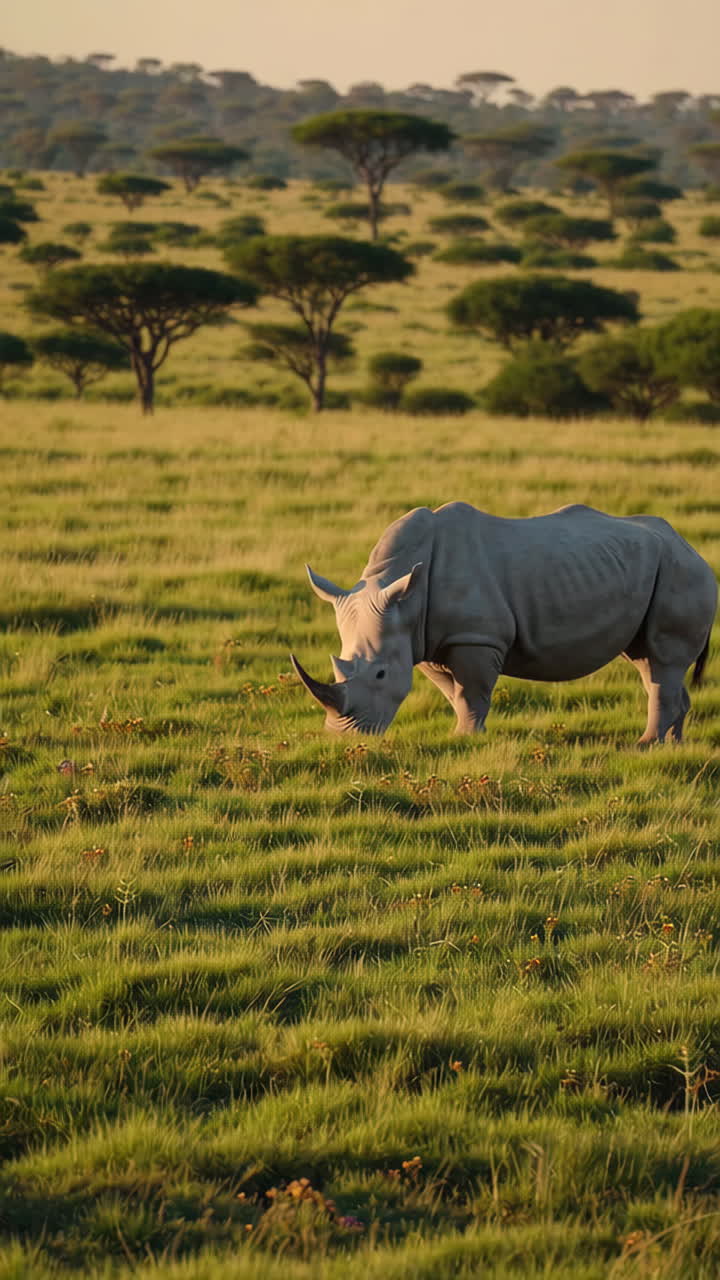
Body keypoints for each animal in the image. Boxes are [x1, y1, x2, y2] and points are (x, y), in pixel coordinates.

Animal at [291, 503, 717, 742]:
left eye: (380, 674)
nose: (344, 738)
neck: (403, 595)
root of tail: (689, 545)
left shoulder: (476, 637)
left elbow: (471, 691)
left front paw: (466, 740)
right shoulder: (426, 639)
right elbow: (454, 692)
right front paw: (464, 733)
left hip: (682, 571)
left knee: (662, 660)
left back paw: (647, 744)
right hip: (660, 570)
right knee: (650, 661)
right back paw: (674, 744)